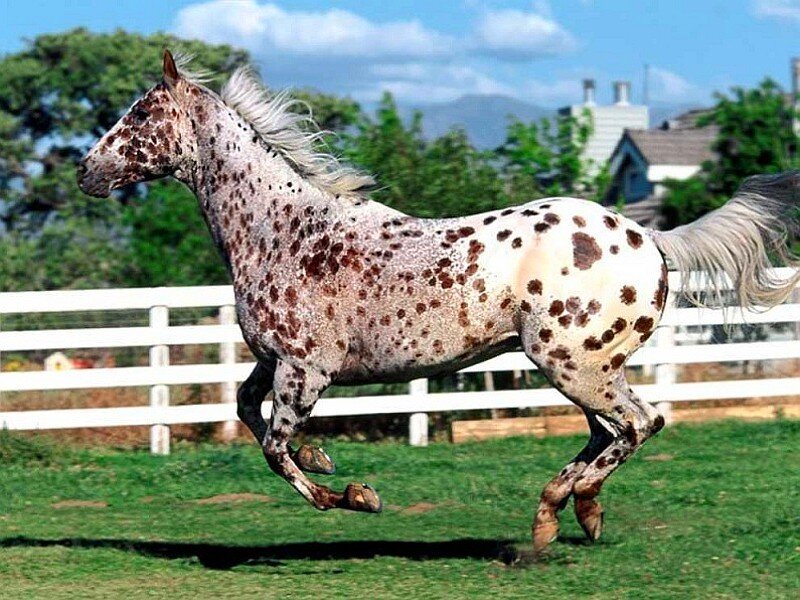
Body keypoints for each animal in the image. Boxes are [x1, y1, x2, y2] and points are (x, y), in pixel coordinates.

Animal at [78, 50, 800, 553]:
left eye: (139, 114)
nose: (86, 171)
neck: (282, 230)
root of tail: (650, 237)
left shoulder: (306, 369)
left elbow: (276, 449)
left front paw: (357, 495)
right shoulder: (271, 361)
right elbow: (247, 412)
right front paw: (325, 459)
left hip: (574, 363)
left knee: (638, 424)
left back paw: (563, 512)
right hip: (582, 367)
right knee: (608, 433)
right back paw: (566, 514)